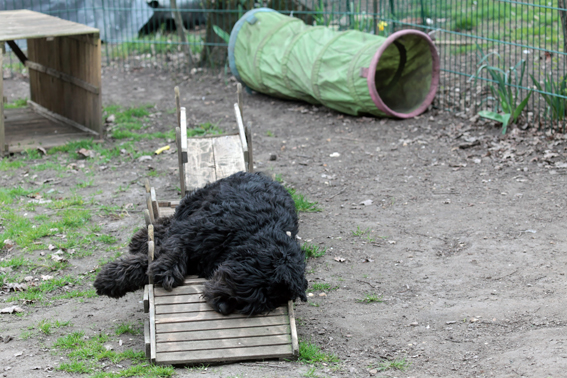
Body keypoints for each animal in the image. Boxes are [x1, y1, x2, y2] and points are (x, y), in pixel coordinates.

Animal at [93, 173, 308, 314]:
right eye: (248, 284)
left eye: (264, 303)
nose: (223, 308)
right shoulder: (191, 232)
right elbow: (169, 251)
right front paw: (110, 279)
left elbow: (151, 260)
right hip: (193, 203)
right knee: (169, 221)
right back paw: (142, 237)